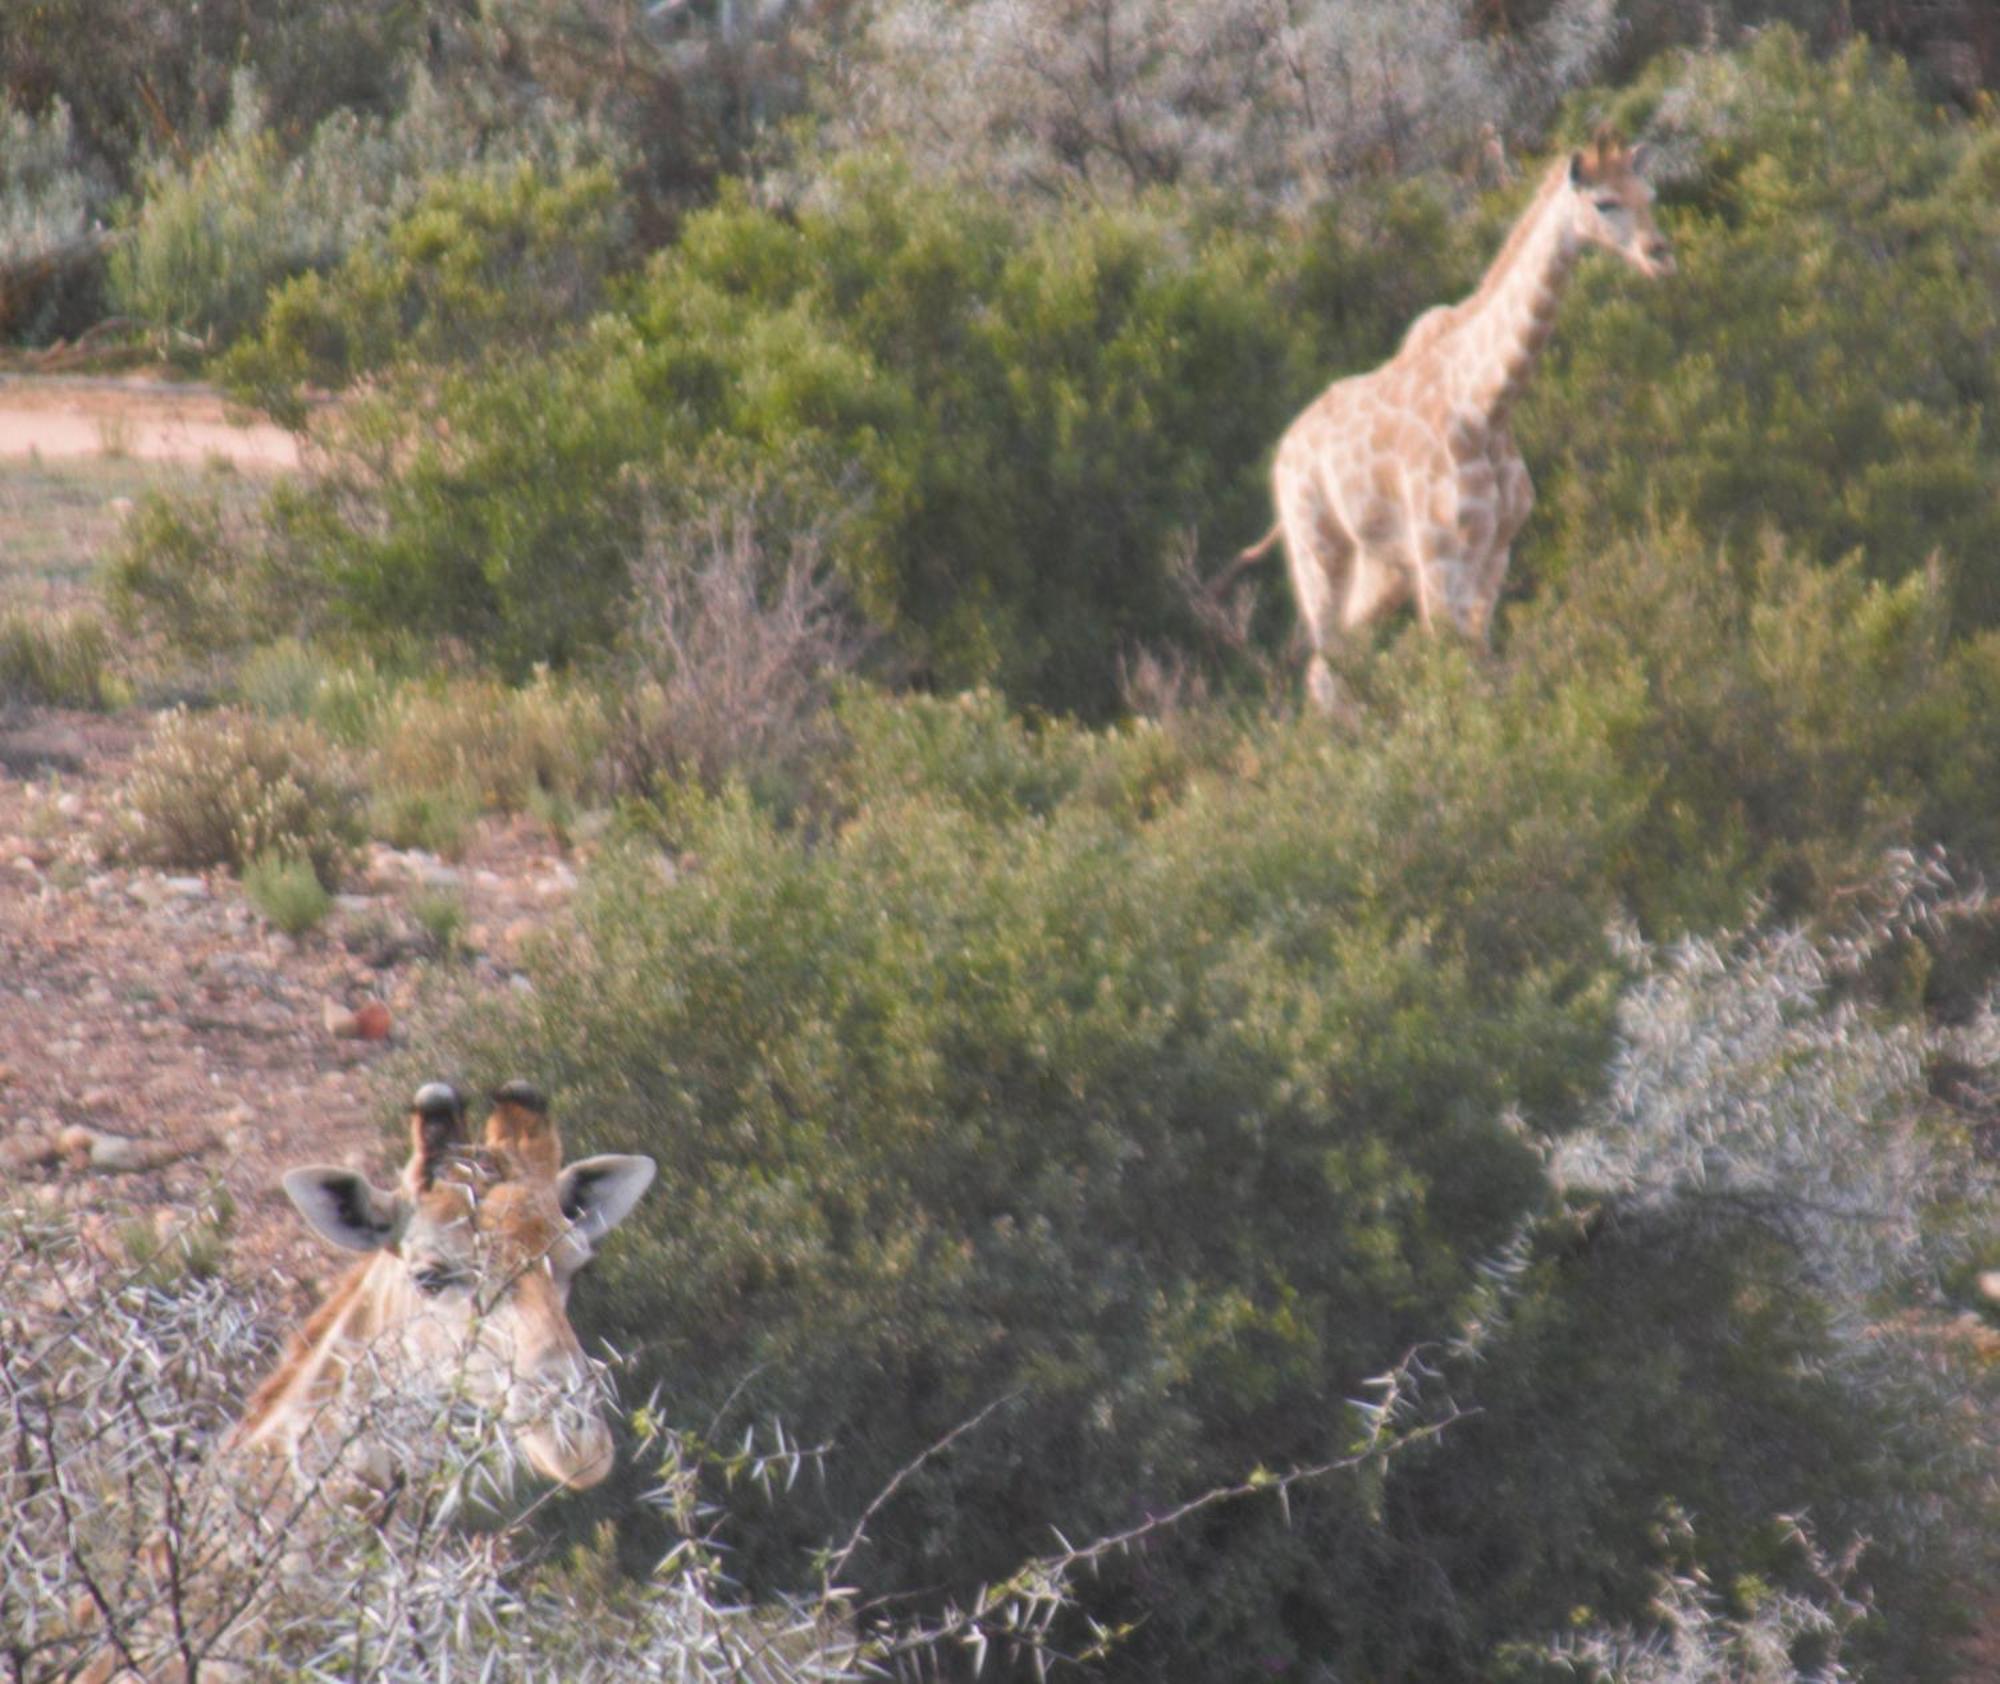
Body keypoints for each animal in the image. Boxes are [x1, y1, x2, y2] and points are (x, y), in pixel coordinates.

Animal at [1240, 126, 1680, 708]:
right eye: (1604, 203)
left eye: (1649, 196)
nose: (1660, 256)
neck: (1485, 404)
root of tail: (1284, 449)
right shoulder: (1439, 556)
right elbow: (1449, 667)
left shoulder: (1494, 553)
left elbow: (1483, 664)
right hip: (1318, 546)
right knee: (1326, 662)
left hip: (1381, 567)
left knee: (1339, 659)